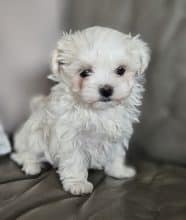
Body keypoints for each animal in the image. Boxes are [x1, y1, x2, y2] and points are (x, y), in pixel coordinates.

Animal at [10, 26, 150, 195]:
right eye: (84, 73)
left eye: (121, 70)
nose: (106, 89)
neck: (98, 111)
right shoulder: (70, 138)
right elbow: (74, 161)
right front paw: (77, 184)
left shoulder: (118, 132)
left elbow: (116, 153)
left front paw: (118, 171)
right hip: (35, 138)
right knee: (24, 154)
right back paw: (32, 167)